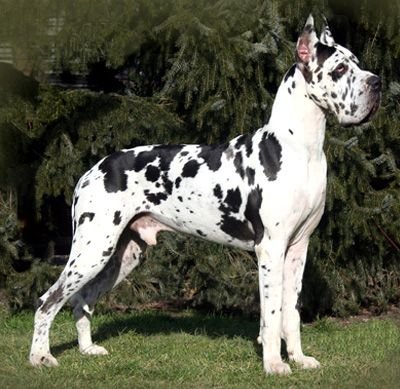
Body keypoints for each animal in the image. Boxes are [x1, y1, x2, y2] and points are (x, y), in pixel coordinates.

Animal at [29, 15, 380, 372]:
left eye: (357, 63)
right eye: (339, 69)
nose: (377, 83)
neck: (300, 148)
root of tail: (92, 169)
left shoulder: (298, 248)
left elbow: (290, 313)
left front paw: (298, 358)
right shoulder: (270, 248)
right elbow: (271, 314)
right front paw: (273, 364)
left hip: (123, 254)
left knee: (82, 299)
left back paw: (87, 349)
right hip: (93, 248)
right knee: (48, 300)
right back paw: (40, 356)